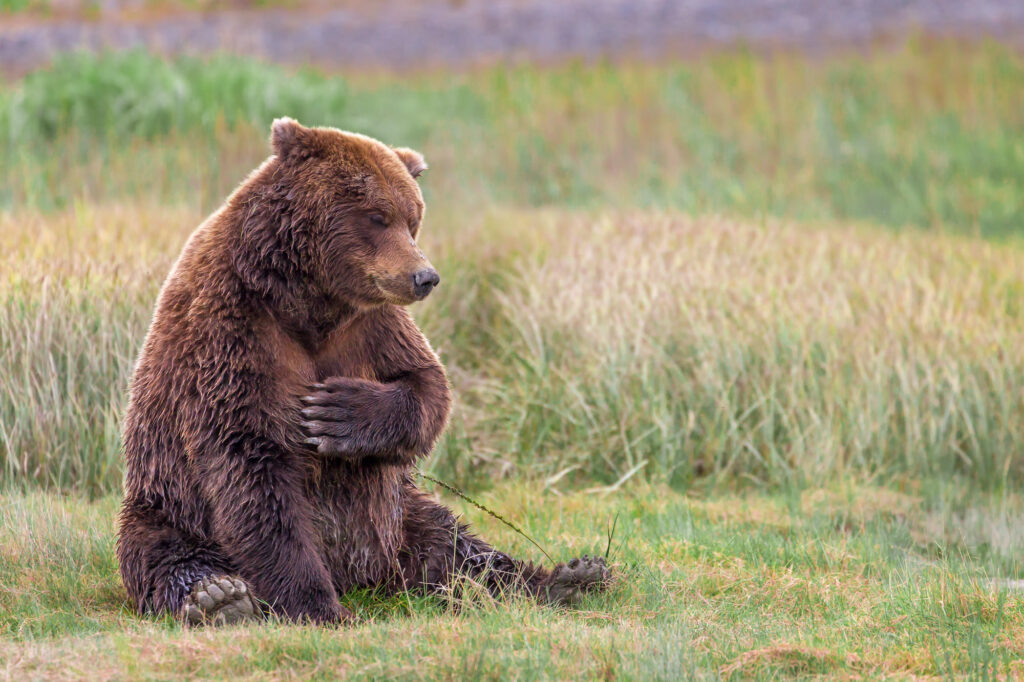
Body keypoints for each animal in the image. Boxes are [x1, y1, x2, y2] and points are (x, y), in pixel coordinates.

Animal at [116, 118, 609, 625]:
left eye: (413, 217)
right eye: (377, 216)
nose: (425, 277)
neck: (308, 301)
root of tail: (367, 580)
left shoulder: (371, 326)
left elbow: (427, 384)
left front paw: (338, 412)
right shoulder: (234, 331)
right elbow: (251, 461)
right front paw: (315, 604)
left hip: (403, 515)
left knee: (456, 546)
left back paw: (568, 577)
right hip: (166, 506)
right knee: (170, 555)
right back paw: (218, 597)